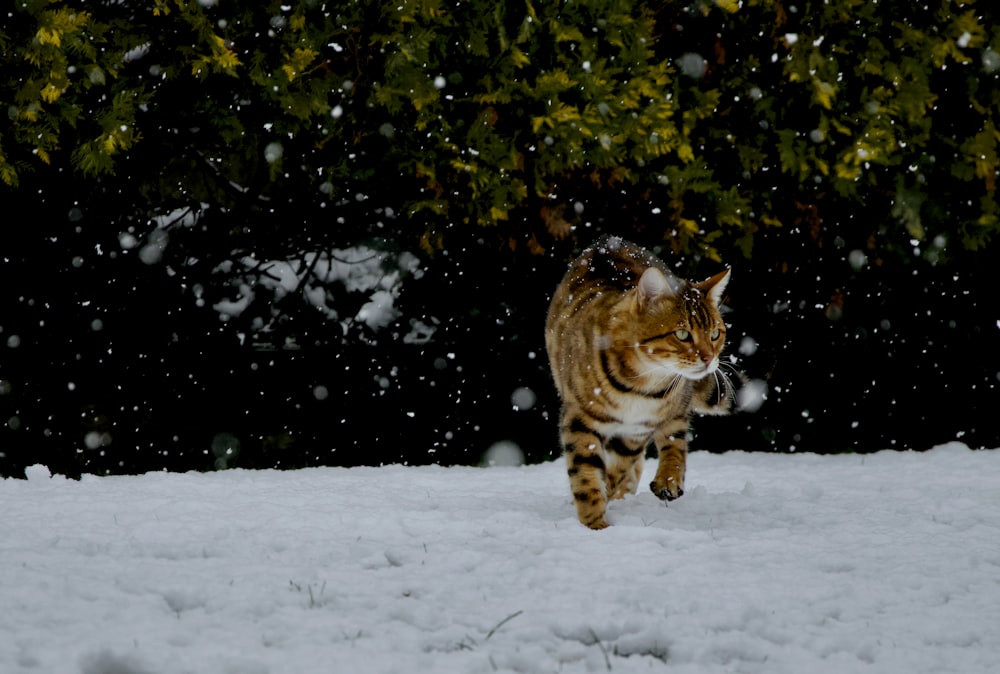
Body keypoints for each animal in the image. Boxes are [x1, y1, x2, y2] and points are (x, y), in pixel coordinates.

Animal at [548, 238, 736, 532]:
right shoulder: (579, 418)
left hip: (676, 406)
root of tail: (608, 240)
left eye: (715, 333)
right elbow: (586, 474)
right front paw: (595, 525)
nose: (709, 359)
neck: (641, 386)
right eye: (682, 334)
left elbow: (618, 468)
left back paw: (667, 481)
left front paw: (608, 501)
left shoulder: (637, 430)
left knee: (674, 440)